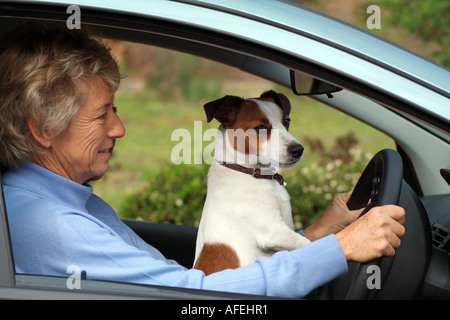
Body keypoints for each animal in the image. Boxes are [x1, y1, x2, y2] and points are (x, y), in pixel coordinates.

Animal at [193, 90, 310, 276]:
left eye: (287, 121)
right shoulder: (275, 232)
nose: (298, 150)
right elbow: (308, 242)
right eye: (260, 128)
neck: (248, 172)